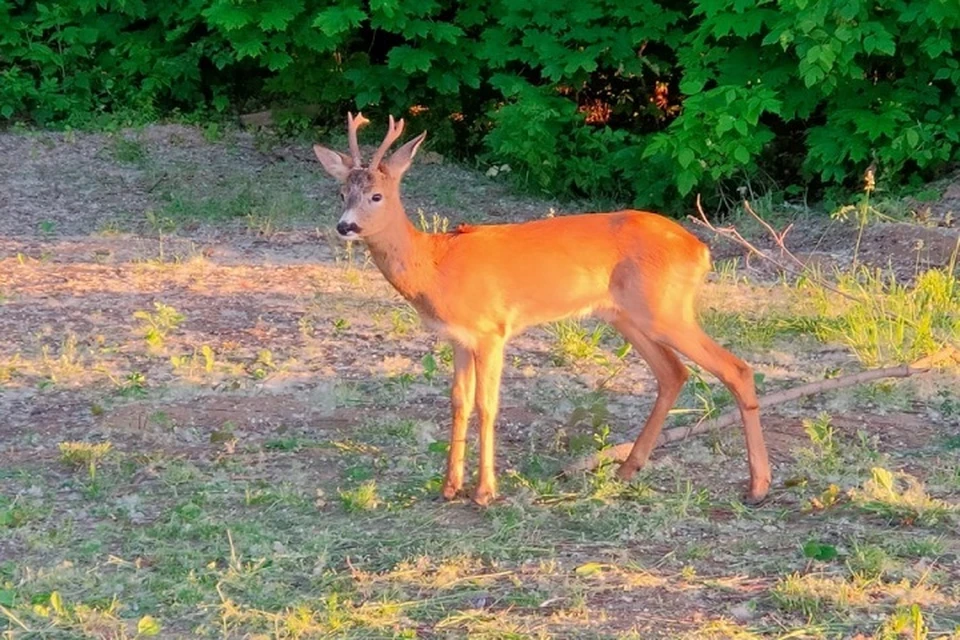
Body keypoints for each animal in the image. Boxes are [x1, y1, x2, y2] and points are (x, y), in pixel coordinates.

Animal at [316, 114, 772, 504]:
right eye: (341, 193)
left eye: (376, 195)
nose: (345, 226)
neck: (434, 263)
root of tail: (701, 249)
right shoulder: (459, 338)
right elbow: (459, 402)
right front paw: (449, 487)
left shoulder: (492, 329)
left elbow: (487, 405)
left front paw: (484, 491)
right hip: (627, 316)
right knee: (673, 373)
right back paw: (628, 469)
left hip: (666, 310)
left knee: (736, 369)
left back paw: (757, 487)